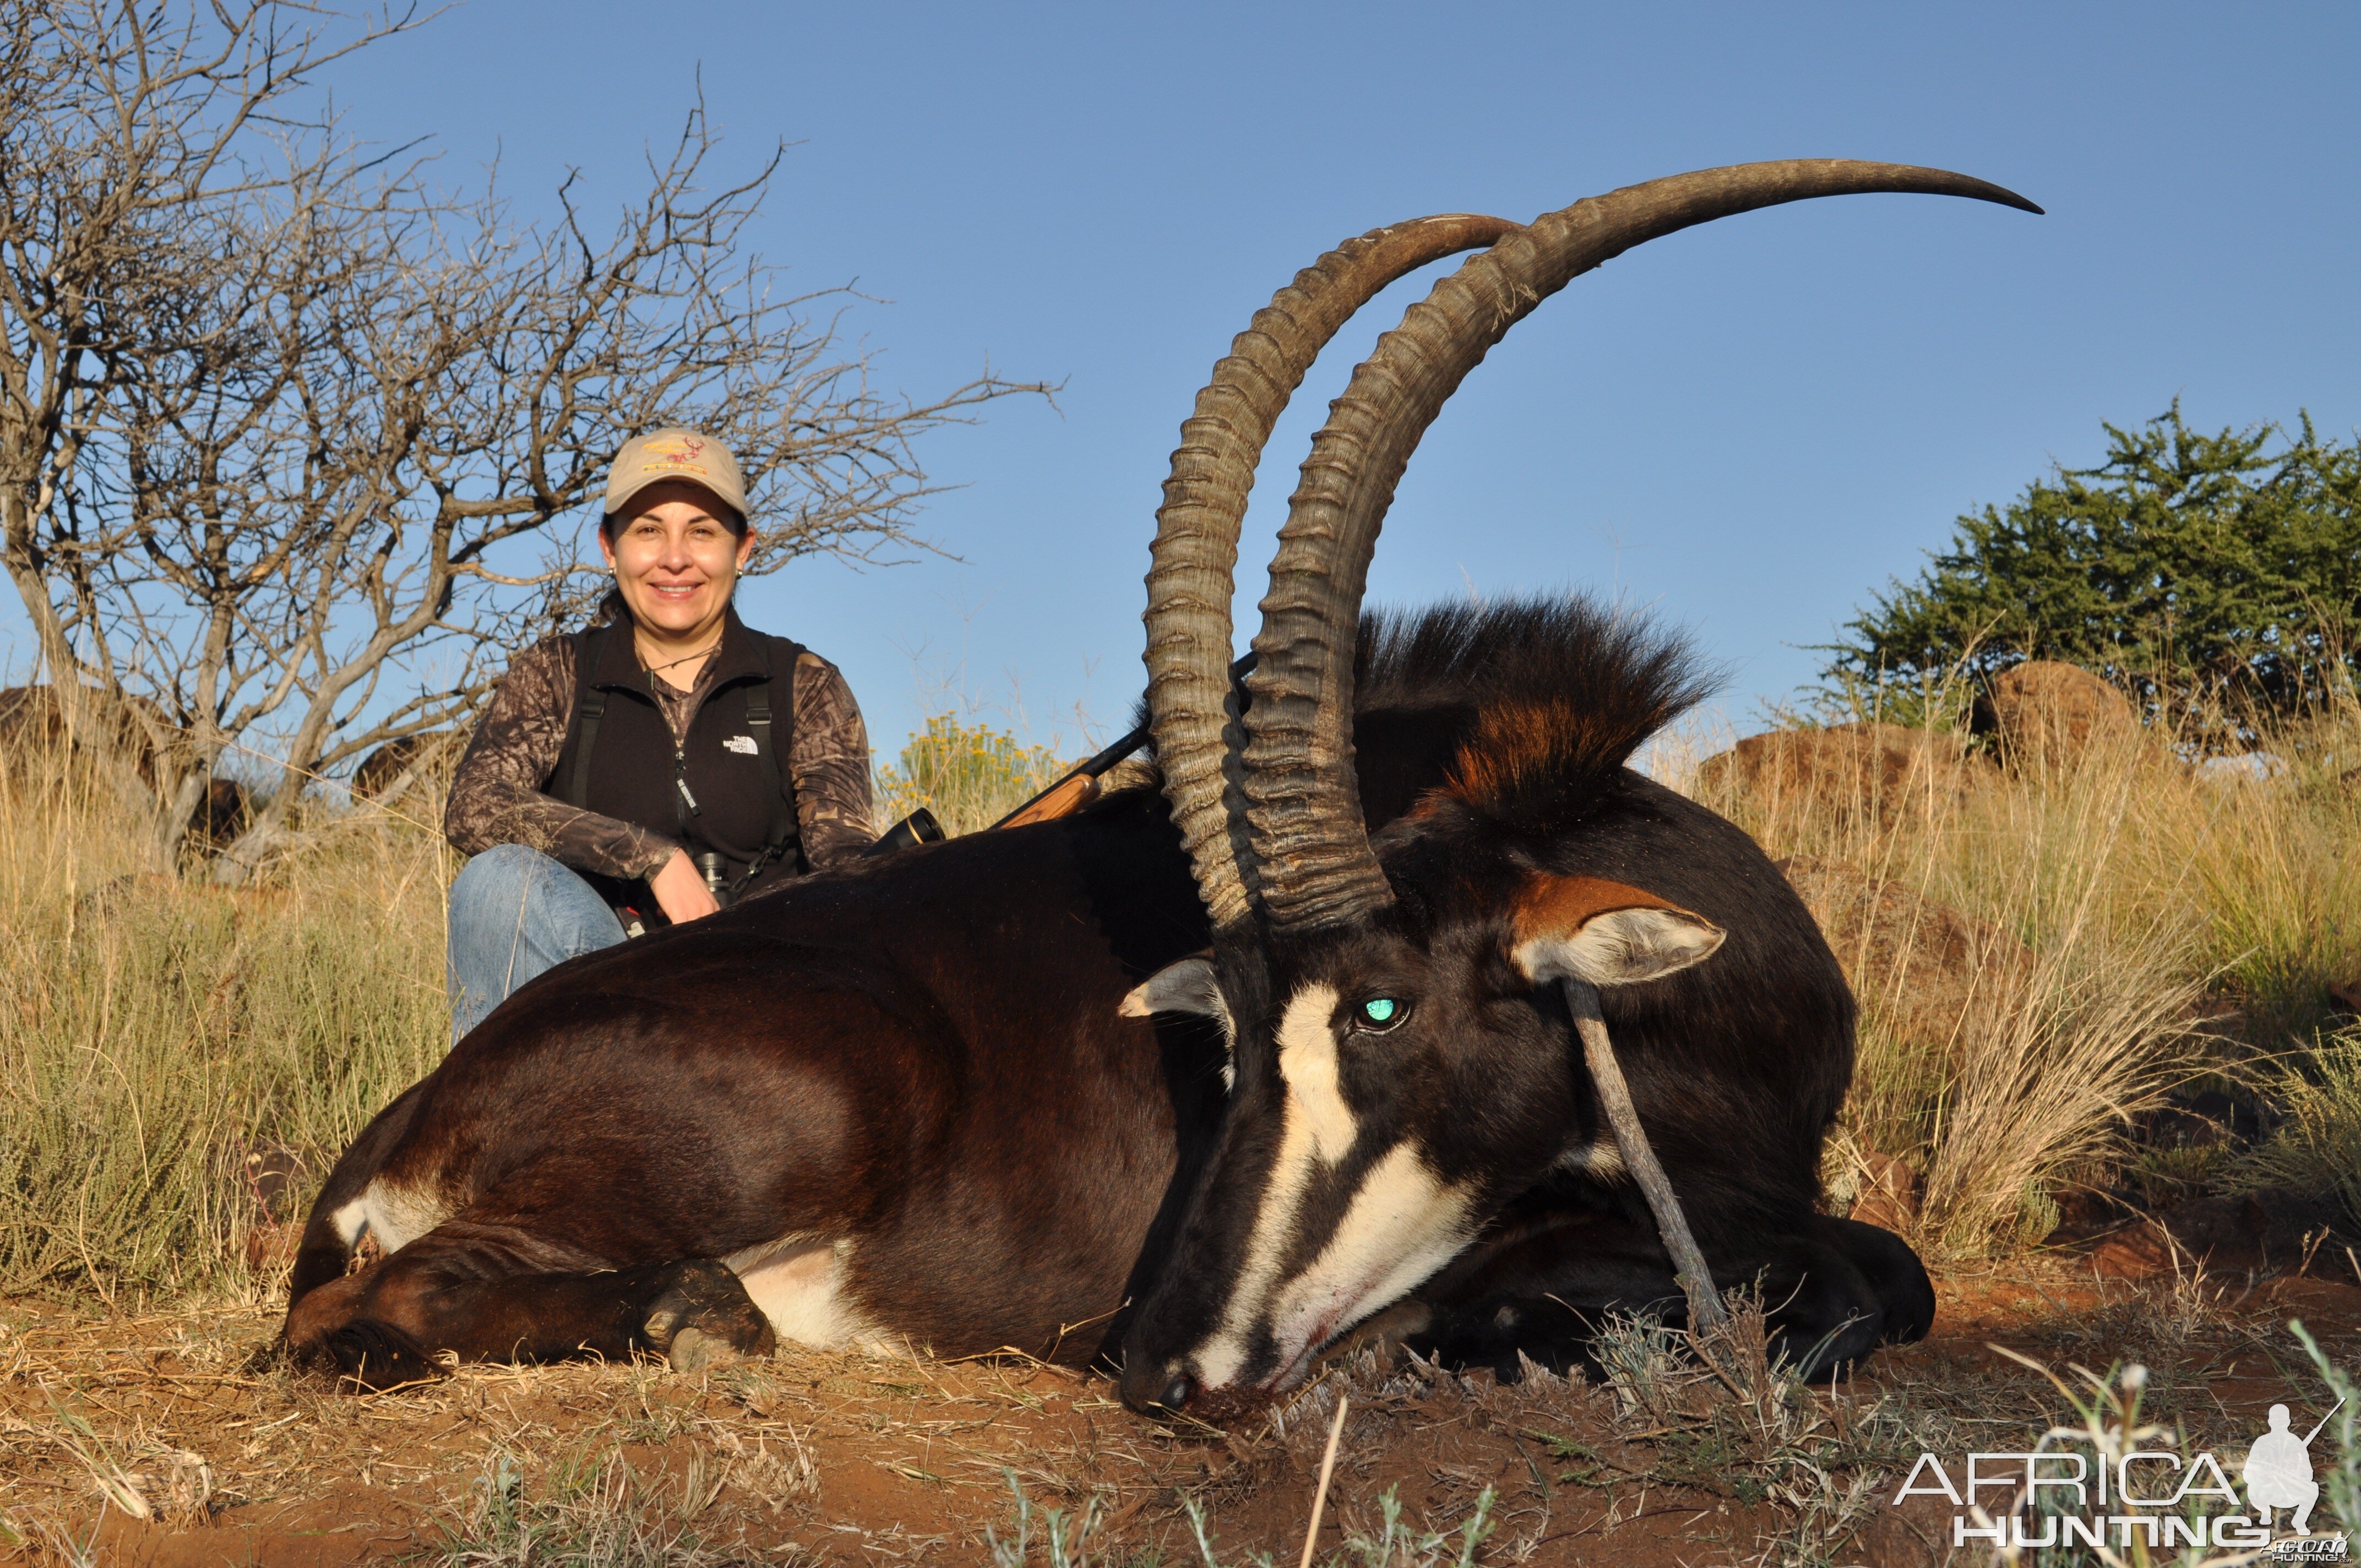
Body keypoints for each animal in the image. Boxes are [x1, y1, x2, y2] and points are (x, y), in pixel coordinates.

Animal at [285, 165, 2039, 1398]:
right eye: (1230, 1033)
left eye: (1382, 1007)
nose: (1159, 1360)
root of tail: (400, 1125)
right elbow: (1844, 1273)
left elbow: (1881, 1270)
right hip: (816, 1096)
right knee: (377, 1305)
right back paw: (690, 1312)